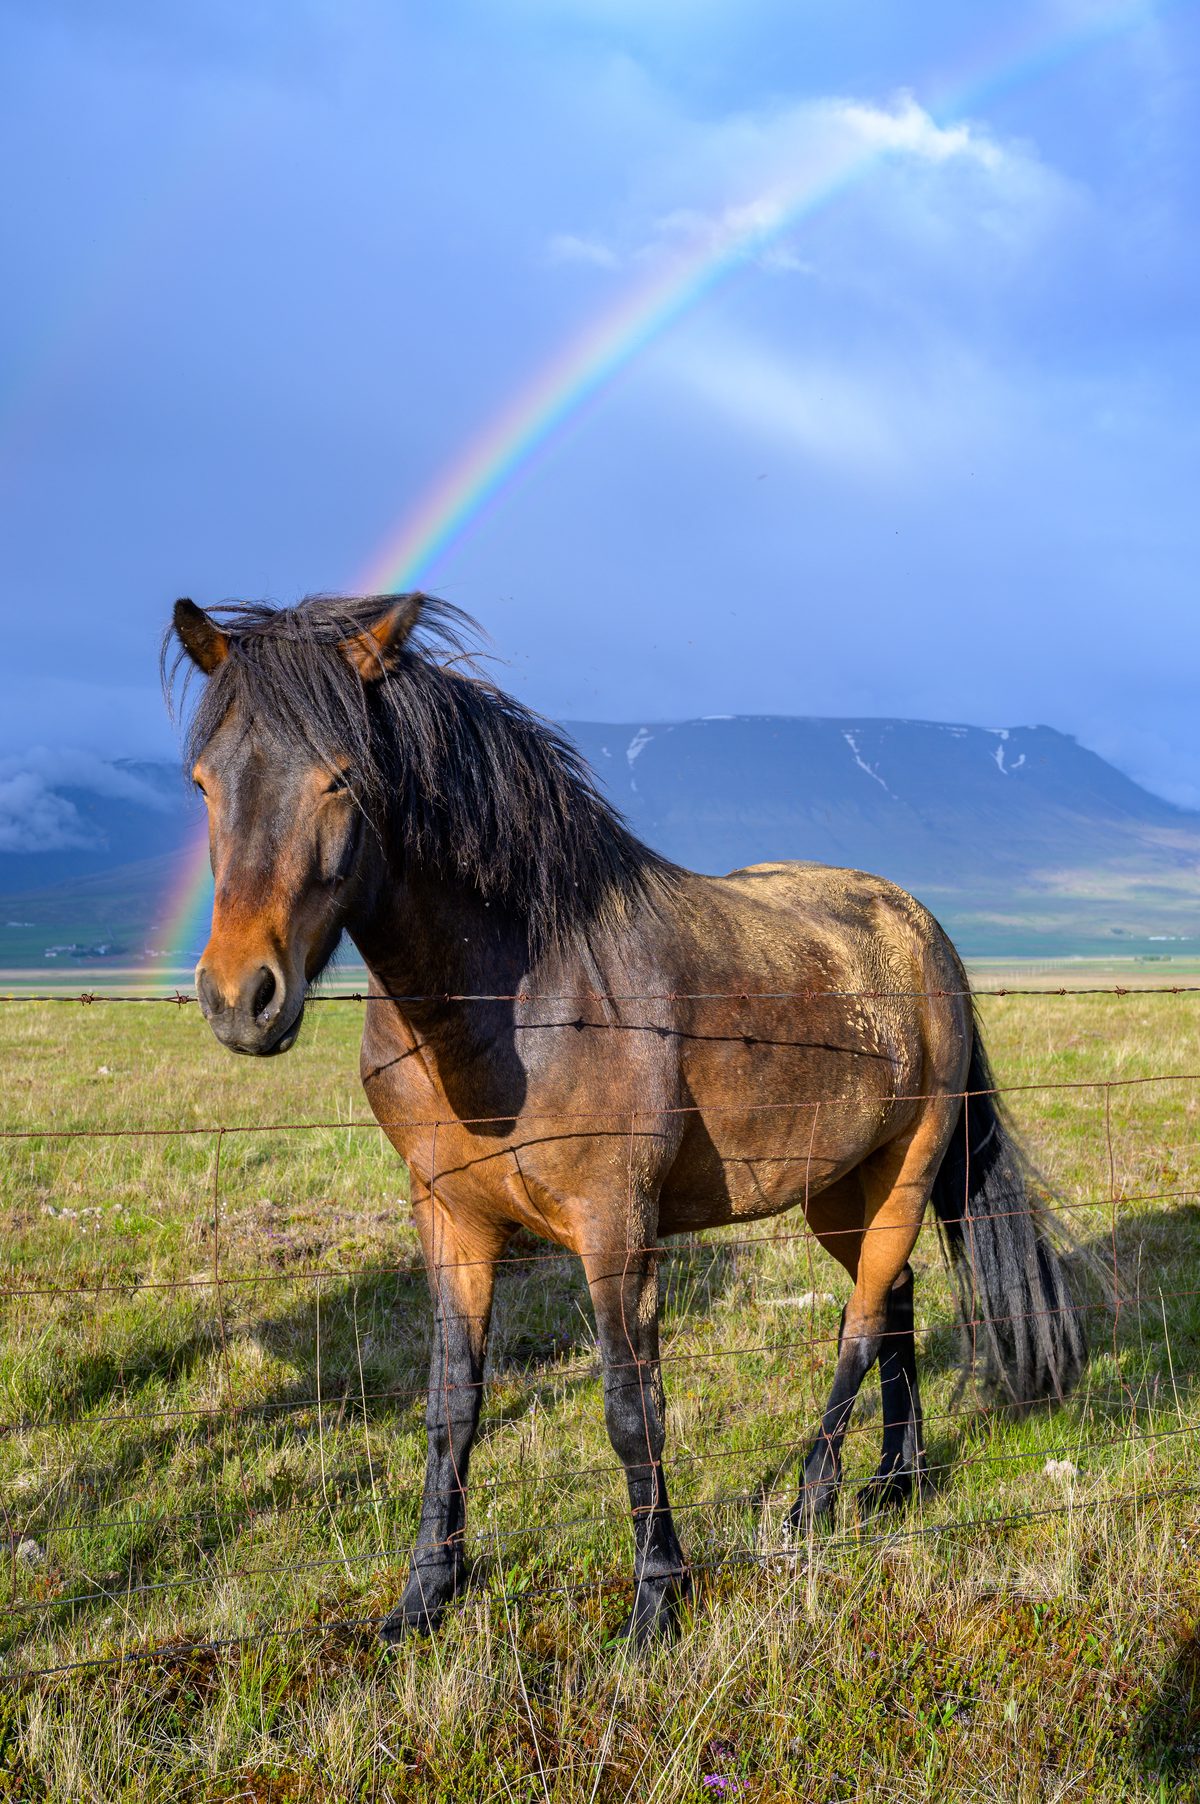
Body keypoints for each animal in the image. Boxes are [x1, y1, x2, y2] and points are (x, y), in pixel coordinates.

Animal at [165, 590, 1085, 1645]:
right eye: (203, 783)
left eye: (340, 777)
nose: (241, 997)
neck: (513, 1001)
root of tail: (924, 929)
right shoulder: (452, 1221)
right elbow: (451, 1407)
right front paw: (424, 1597)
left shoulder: (615, 1230)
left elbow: (629, 1409)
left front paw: (655, 1598)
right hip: (836, 1189)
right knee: (891, 1302)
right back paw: (895, 1481)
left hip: (910, 1164)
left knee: (859, 1324)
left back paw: (813, 1499)